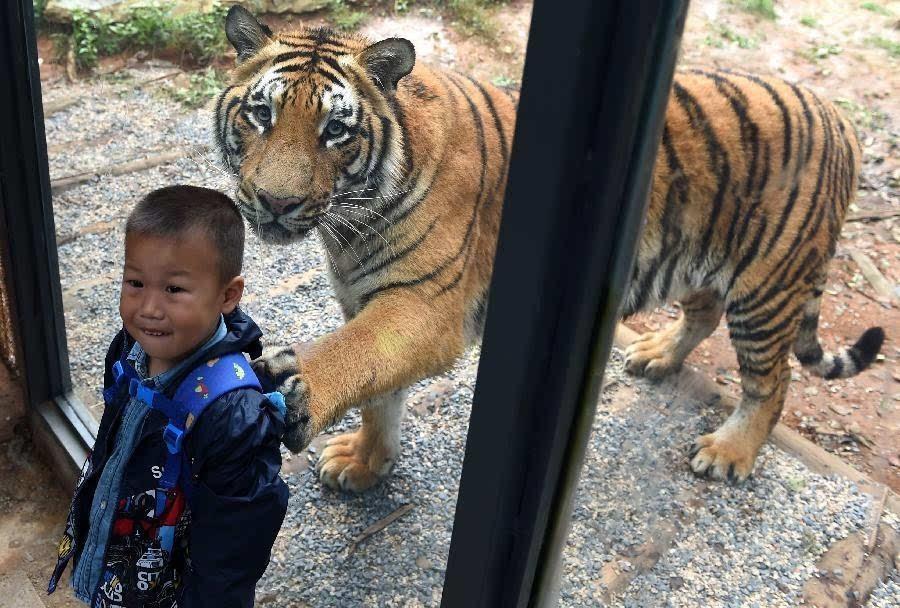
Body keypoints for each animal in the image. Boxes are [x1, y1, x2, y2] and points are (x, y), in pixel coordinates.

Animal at [214, 5, 884, 490]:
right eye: (261, 114)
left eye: (335, 130)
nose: (275, 202)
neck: (348, 226)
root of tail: (841, 117)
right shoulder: (366, 300)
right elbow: (379, 391)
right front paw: (364, 462)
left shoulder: (422, 309)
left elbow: (351, 356)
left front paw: (300, 388)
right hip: (700, 257)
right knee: (703, 310)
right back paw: (657, 355)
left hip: (768, 286)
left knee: (773, 383)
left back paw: (729, 450)